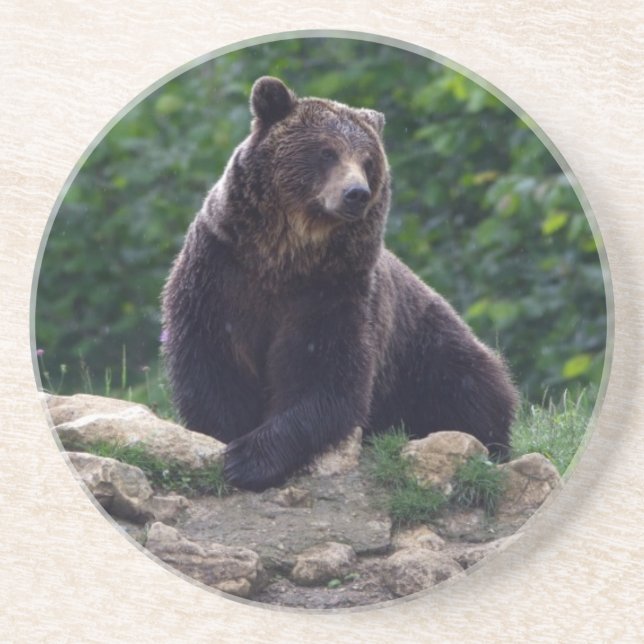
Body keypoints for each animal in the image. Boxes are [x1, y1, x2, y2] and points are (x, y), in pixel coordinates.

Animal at [162, 76, 519, 492]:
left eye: (368, 161)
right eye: (326, 152)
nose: (356, 193)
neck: (283, 255)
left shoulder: (332, 291)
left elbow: (327, 376)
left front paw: (249, 458)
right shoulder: (220, 274)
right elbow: (213, 363)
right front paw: (226, 440)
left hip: (426, 349)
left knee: (472, 388)